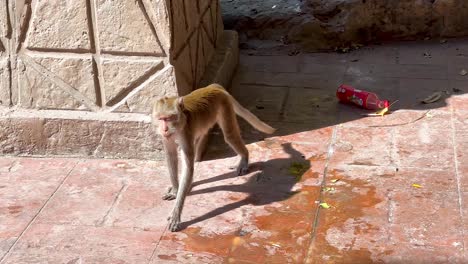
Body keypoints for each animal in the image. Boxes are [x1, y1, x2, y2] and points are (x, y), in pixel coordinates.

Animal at [152, 82, 274, 231]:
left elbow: (187, 166)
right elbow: (171, 156)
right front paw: (175, 190)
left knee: (230, 135)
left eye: (169, 118)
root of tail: (213, 86)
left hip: (225, 105)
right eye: (160, 119)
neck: (180, 123)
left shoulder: (186, 133)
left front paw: (176, 215)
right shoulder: (167, 137)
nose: (164, 129)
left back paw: (244, 157)